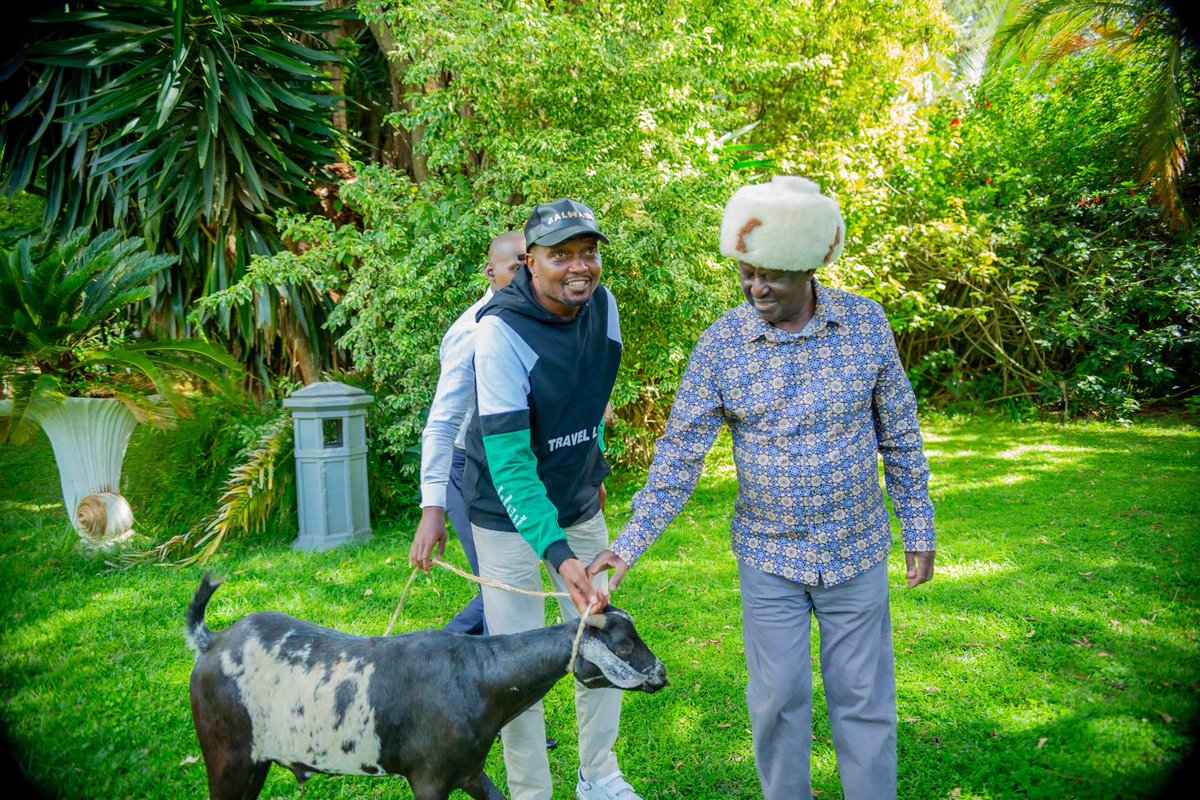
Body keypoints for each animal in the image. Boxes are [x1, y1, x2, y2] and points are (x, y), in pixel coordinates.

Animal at [184, 573, 667, 800]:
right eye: (624, 647)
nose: (661, 674)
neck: (477, 676)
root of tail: (211, 642)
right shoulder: (429, 780)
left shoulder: (469, 773)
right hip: (226, 757)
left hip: (255, 762)